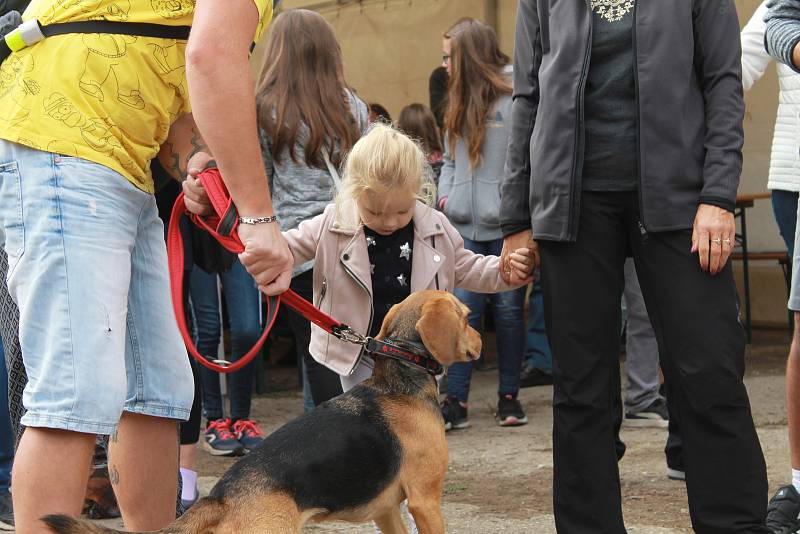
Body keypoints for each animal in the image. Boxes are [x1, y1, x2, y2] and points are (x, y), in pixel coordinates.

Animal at [43, 292, 482, 534]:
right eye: (466, 317)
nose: (479, 340)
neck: (399, 379)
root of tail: (221, 496)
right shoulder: (425, 501)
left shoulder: (388, 508)